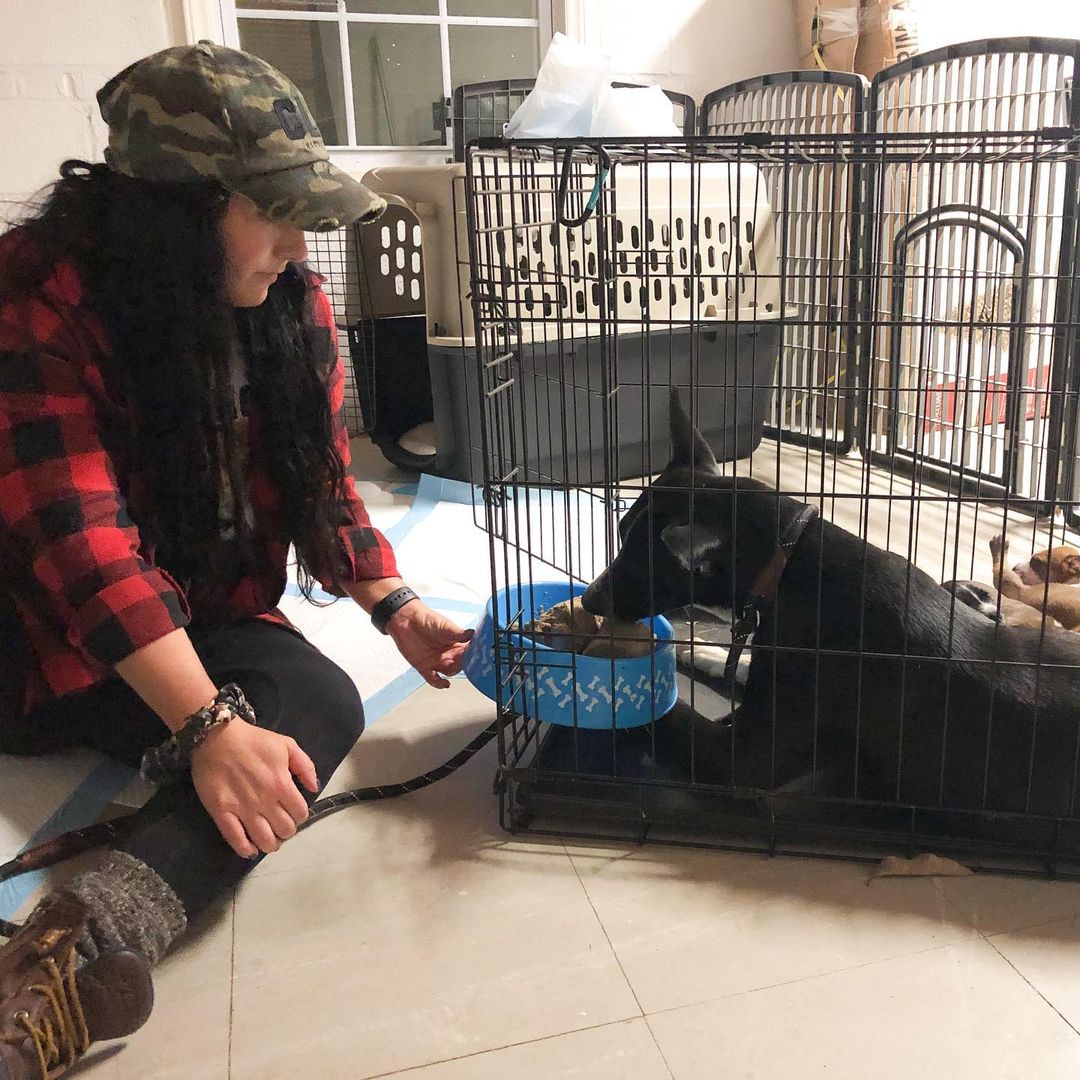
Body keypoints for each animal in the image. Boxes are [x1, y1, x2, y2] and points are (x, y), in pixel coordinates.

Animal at [587, 393, 1080, 812]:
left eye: (639, 562)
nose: (590, 601)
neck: (792, 560)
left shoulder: (741, 761)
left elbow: (671, 715)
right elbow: (738, 663)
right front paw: (699, 649)